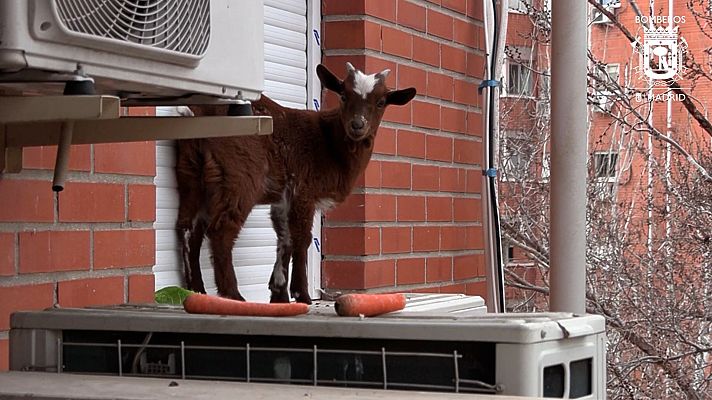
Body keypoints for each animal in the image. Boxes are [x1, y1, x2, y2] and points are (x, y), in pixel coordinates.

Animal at [175, 63, 416, 304]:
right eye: (343, 95)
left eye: (381, 101)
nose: (357, 125)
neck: (329, 142)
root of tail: (199, 114)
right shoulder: (303, 191)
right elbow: (302, 238)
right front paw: (302, 294)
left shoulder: (284, 197)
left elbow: (285, 237)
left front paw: (279, 293)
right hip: (240, 175)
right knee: (221, 230)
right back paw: (233, 295)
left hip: (191, 173)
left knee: (187, 228)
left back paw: (196, 290)